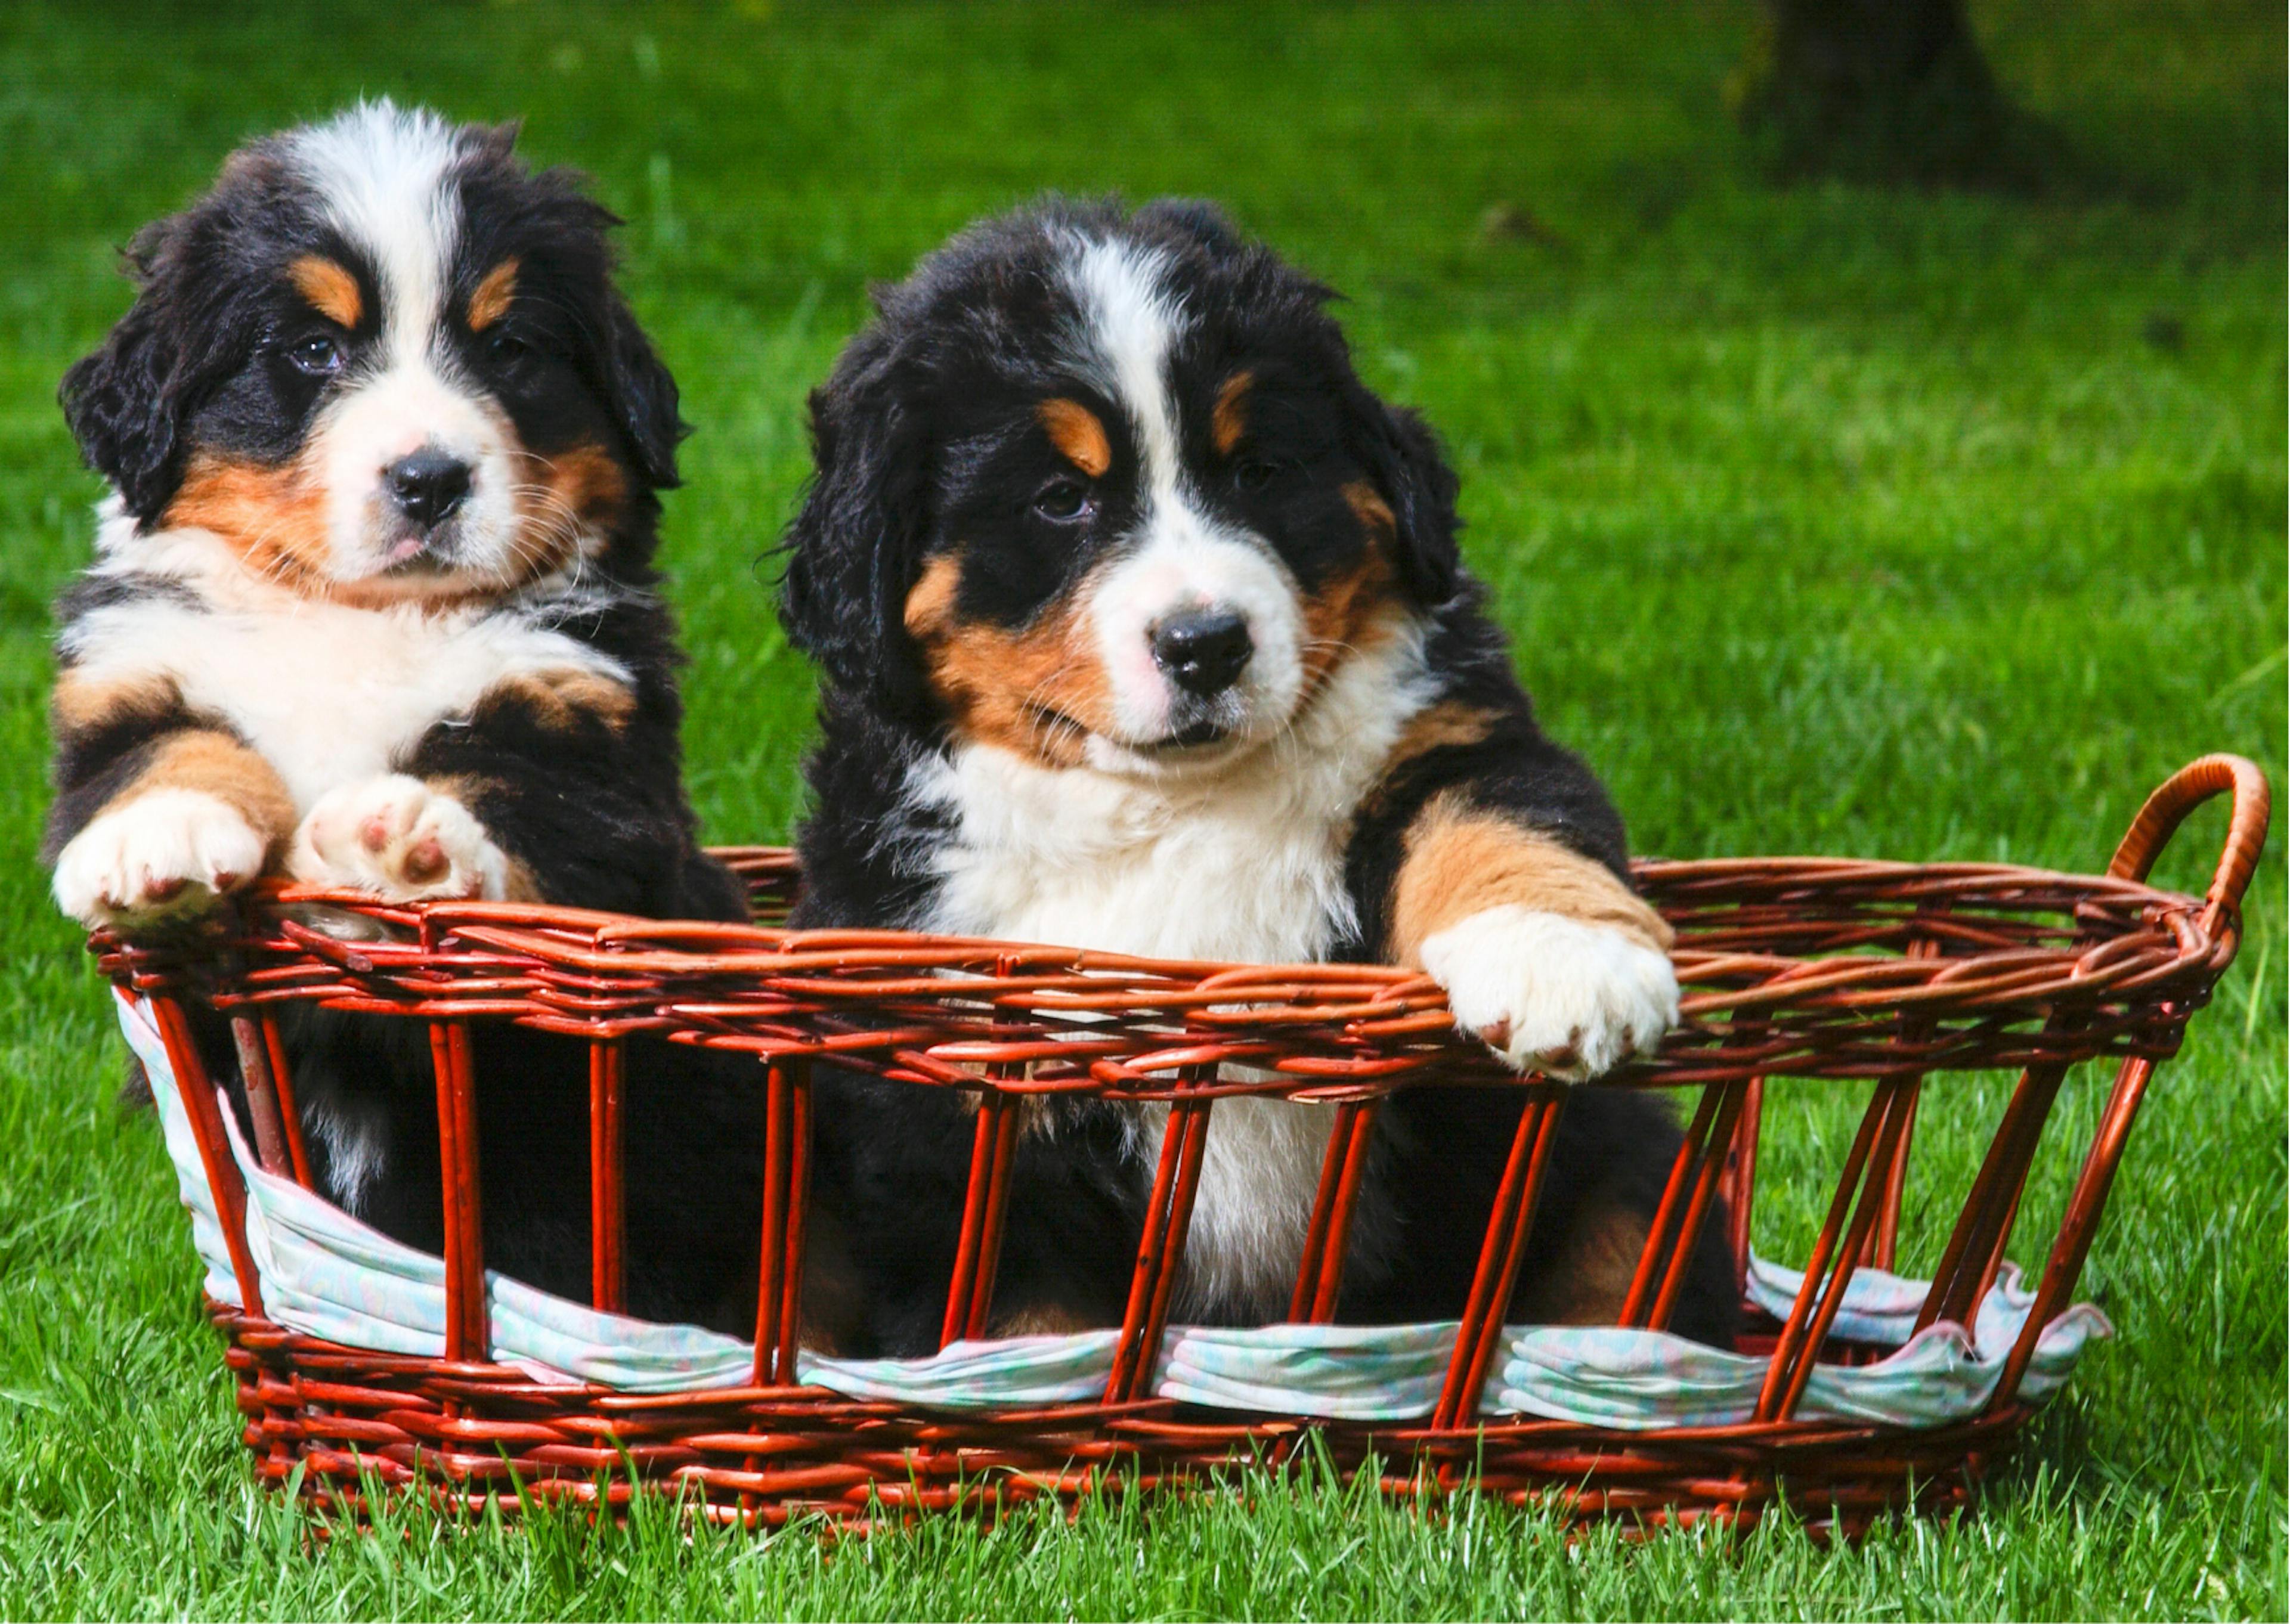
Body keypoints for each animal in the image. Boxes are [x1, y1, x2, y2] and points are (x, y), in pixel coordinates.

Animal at [47, 104, 760, 1328]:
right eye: (312, 351)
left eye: (508, 348)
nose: (430, 479)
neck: (359, 619)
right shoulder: (128, 675)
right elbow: (164, 751)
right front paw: (159, 843)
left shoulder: (583, 721)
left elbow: (512, 793)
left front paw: (404, 847)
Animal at [783, 196, 1731, 1356]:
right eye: (1060, 500)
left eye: (1257, 471)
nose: (1206, 643)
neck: (1180, 804)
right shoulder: (954, 1093)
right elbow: (1025, 1314)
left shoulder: (1449, 738)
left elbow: (1501, 822)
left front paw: (1565, 962)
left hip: (1625, 1180)